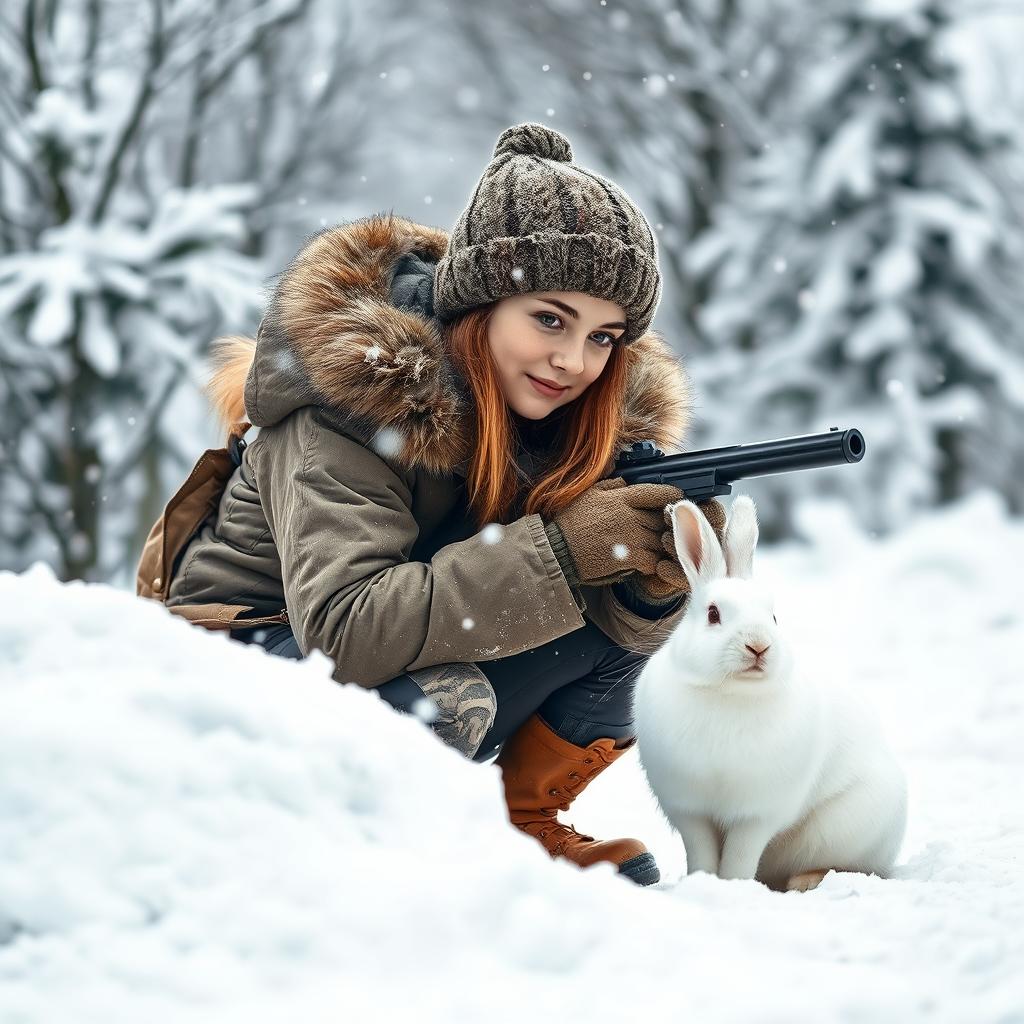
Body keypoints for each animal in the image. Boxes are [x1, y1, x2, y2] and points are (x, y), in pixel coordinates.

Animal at [634, 493, 909, 888]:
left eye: (774, 617)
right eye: (713, 614)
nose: (759, 646)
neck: (731, 694)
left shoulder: (756, 815)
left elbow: (740, 855)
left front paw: (733, 886)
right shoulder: (691, 810)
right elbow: (701, 851)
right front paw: (702, 882)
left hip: (845, 831)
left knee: (855, 867)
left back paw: (805, 882)